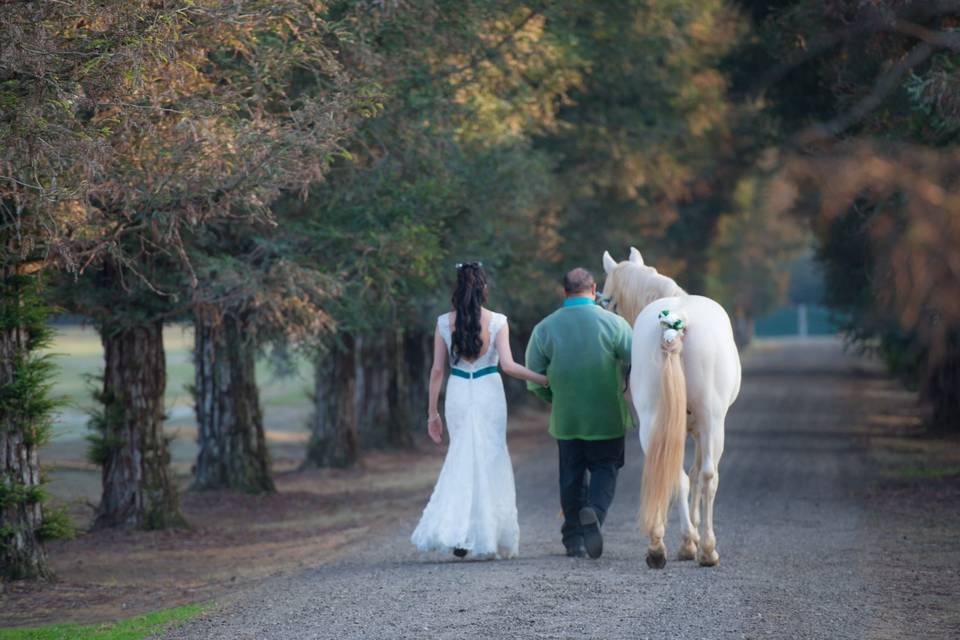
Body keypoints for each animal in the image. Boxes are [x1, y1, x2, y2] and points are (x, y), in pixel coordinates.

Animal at [600, 248, 744, 568]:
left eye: (607, 300)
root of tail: (678, 321)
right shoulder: (702, 428)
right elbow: (697, 473)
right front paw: (695, 538)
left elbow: (686, 475)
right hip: (713, 423)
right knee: (706, 476)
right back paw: (702, 549)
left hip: (656, 422)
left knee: (677, 476)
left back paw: (662, 547)